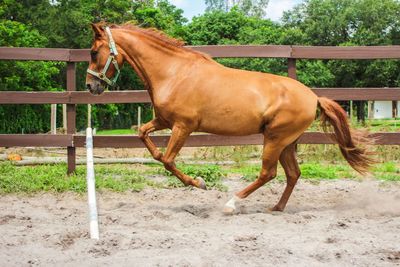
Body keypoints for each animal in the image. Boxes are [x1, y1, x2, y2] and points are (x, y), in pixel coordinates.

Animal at [85, 23, 376, 216]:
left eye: (93, 52)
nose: (90, 86)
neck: (174, 73)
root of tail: (314, 97)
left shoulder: (183, 126)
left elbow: (168, 160)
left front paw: (199, 184)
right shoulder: (164, 121)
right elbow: (144, 137)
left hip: (275, 139)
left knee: (268, 173)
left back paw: (231, 204)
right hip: (286, 143)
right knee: (293, 174)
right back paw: (276, 207)